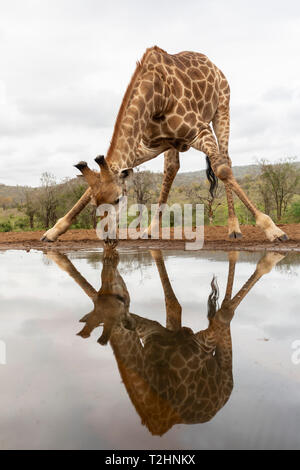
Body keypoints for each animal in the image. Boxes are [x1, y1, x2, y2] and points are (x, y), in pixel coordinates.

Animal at [47, 246, 286, 436]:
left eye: (120, 298)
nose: (111, 258)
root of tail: (221, 401)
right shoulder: (152, 328)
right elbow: (174, 304)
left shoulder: (198, 343)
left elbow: (224, 314)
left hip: (219, 360)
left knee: (224, 313)